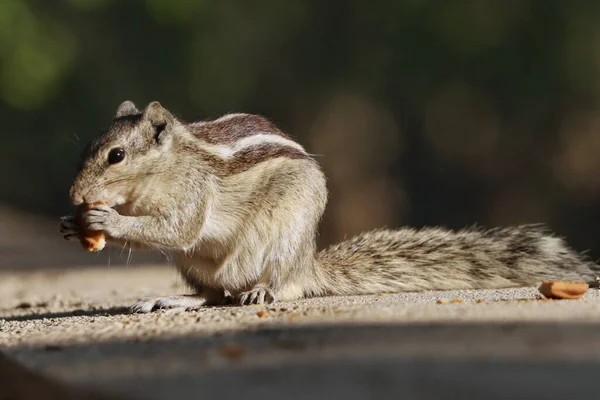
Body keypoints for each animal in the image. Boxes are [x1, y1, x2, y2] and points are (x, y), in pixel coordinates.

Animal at [61, 100, 600, 312]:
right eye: (87, 147)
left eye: (116, 155)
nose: (75, 196)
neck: (167, 167)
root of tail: (307, 263)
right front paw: (73, 223)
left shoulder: (193, 195)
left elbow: (175, 229)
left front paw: (107, 218)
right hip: (198, 267)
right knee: (213, 295)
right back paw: (176, 299)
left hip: (278, 241)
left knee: (279, 288)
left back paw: (264, 292)